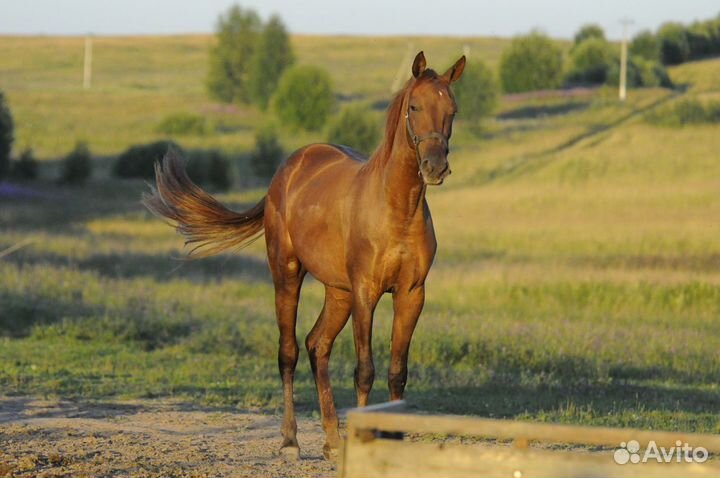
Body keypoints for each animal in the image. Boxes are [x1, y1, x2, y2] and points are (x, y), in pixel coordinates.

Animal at [143, 51, 465, 460]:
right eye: (414, 106)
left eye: (452, 110)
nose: (435, 167)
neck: (397, 208)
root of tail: (287, 170)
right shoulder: (366, 292)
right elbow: (364, 370)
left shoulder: (411, 294)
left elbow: (397, 372)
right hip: (288, 275)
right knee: (289, 352)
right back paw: (290, 441)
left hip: (338, 292)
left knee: (317, 345)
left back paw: (331, 440)